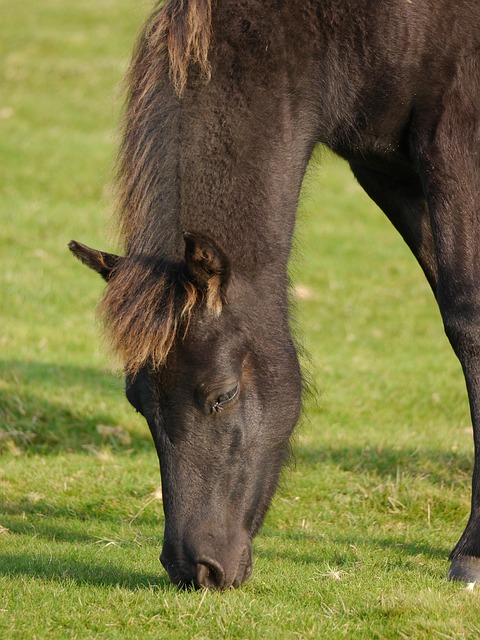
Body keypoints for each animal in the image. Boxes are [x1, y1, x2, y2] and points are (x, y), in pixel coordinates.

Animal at [69, 0, 480, 589]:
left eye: (222, 395)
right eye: (137, 401)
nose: (195, 567)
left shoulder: (456, 143)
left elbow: (468, 321)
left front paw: (471, 551)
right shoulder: (385, 169)